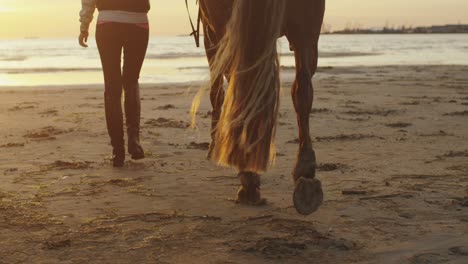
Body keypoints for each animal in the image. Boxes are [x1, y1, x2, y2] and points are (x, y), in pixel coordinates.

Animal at [190, 0, 326, 214]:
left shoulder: (212, 36)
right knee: (302, 89)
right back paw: (305, 173)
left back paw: (249, 179)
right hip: (307, 27)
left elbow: (217, 91)